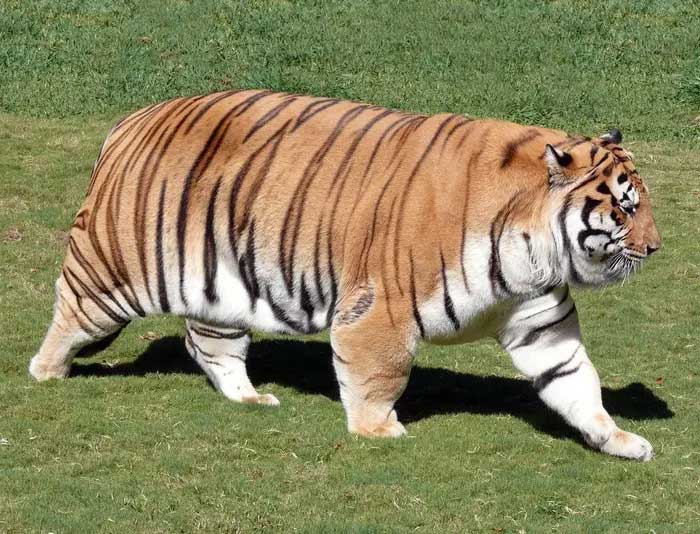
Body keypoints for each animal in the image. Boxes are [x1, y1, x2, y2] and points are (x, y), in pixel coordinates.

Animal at [30, 89, 661, 461]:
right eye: (627, 208)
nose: (656, 247)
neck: (536, 247)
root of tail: (131, 119)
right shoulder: (380, 307)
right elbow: (379, 372)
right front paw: (377, 430)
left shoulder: (541, 321)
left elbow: (576, 381)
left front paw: (618, 438)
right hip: (112, 269)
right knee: (70, 311)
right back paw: (46, 372)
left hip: (220, 290)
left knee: (209, 345)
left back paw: (249, 398)